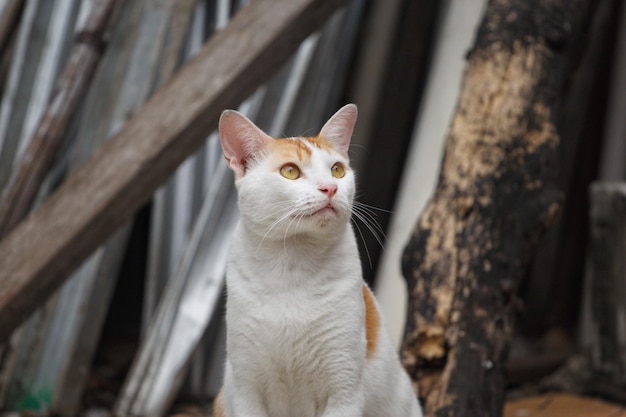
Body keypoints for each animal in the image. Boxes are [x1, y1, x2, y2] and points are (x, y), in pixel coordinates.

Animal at [212, 104, 422, 416]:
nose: (330, 188)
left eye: (337, 170)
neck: (292, 264)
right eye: (290, 171)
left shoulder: (344, 393)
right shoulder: (245, 391)